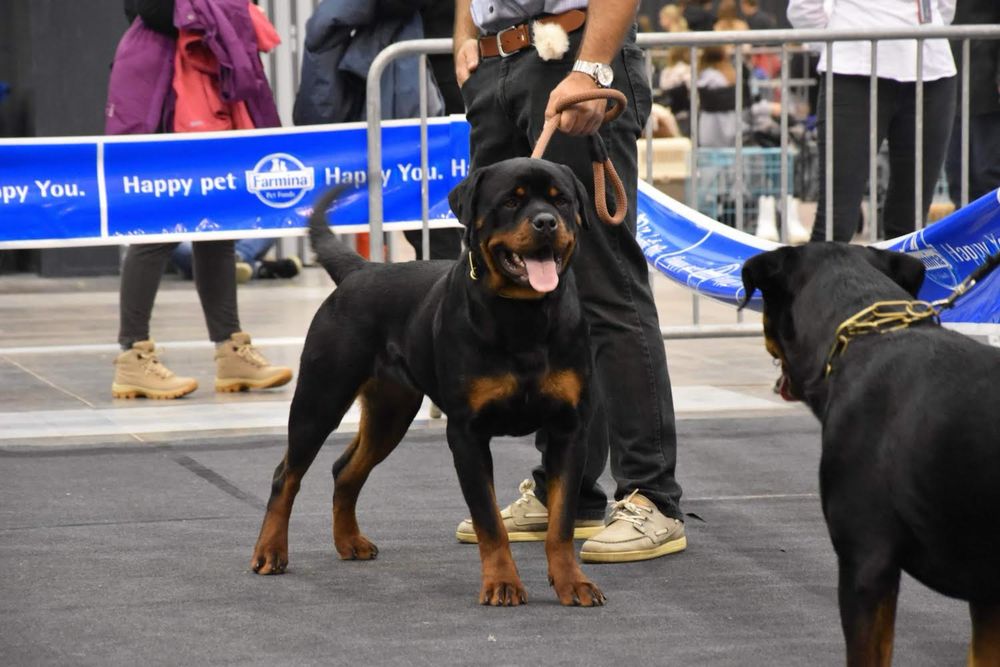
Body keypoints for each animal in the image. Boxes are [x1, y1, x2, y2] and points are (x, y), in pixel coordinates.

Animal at [254, 159, 604, 608]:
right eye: (511, 201)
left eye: (562, 201)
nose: (546, 222)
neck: (524, 316)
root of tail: (362, 269)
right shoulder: (467, 433)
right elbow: (489, 521)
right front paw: (502, 583)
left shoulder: (568, 428)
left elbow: (561, 523)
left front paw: (572, 582)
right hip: (321, 398)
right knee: (287, 476)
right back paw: (270, 552)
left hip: (391, 410)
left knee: (345, 470)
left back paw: (349, 542)